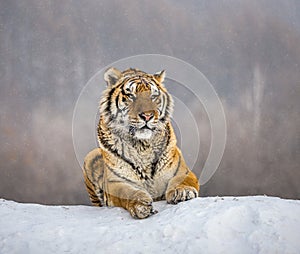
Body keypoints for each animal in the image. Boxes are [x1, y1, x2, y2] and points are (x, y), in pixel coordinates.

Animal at [82, 67, 199, 218]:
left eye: (153, 96)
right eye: (131, 95)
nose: (147, 115)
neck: (142, 146)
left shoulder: (182, 171)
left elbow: (182, 181)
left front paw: (183, 192)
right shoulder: (116, 182)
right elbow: (127, 192)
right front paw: (141, 204)